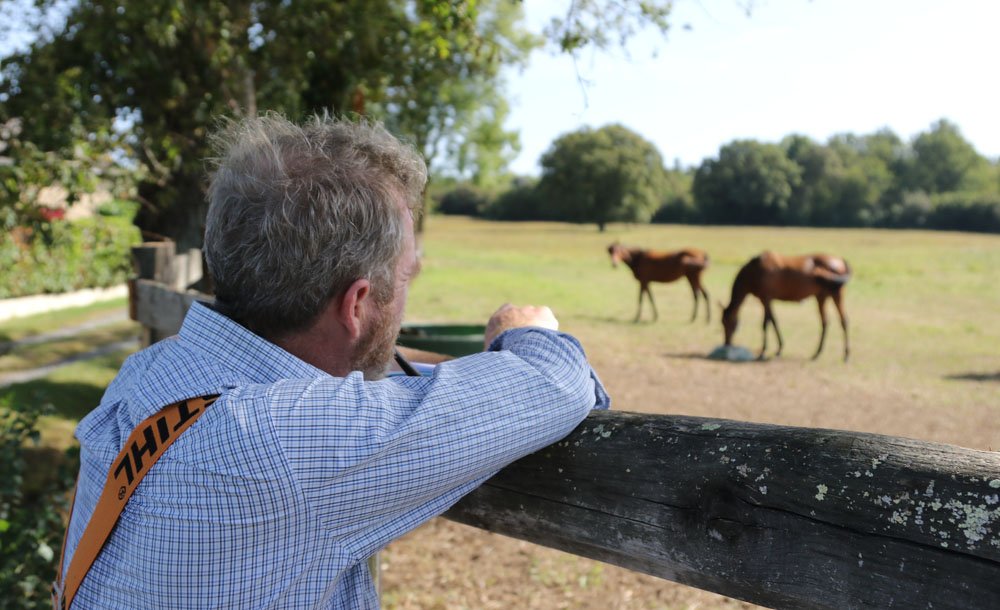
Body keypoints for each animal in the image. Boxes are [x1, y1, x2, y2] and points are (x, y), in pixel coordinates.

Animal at [720, 251, 851, 361]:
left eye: (726, 322)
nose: (726, 343)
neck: (753, 272)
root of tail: (840, 260)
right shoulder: (767, 300)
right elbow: (773, 321)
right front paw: (778, 349)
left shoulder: (765, 299)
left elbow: (766, 323)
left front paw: (764, 351)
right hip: (822, 297)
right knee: (825, 322)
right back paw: (817, 353)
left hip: (837, 294)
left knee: (843, 321)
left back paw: (846, 355)